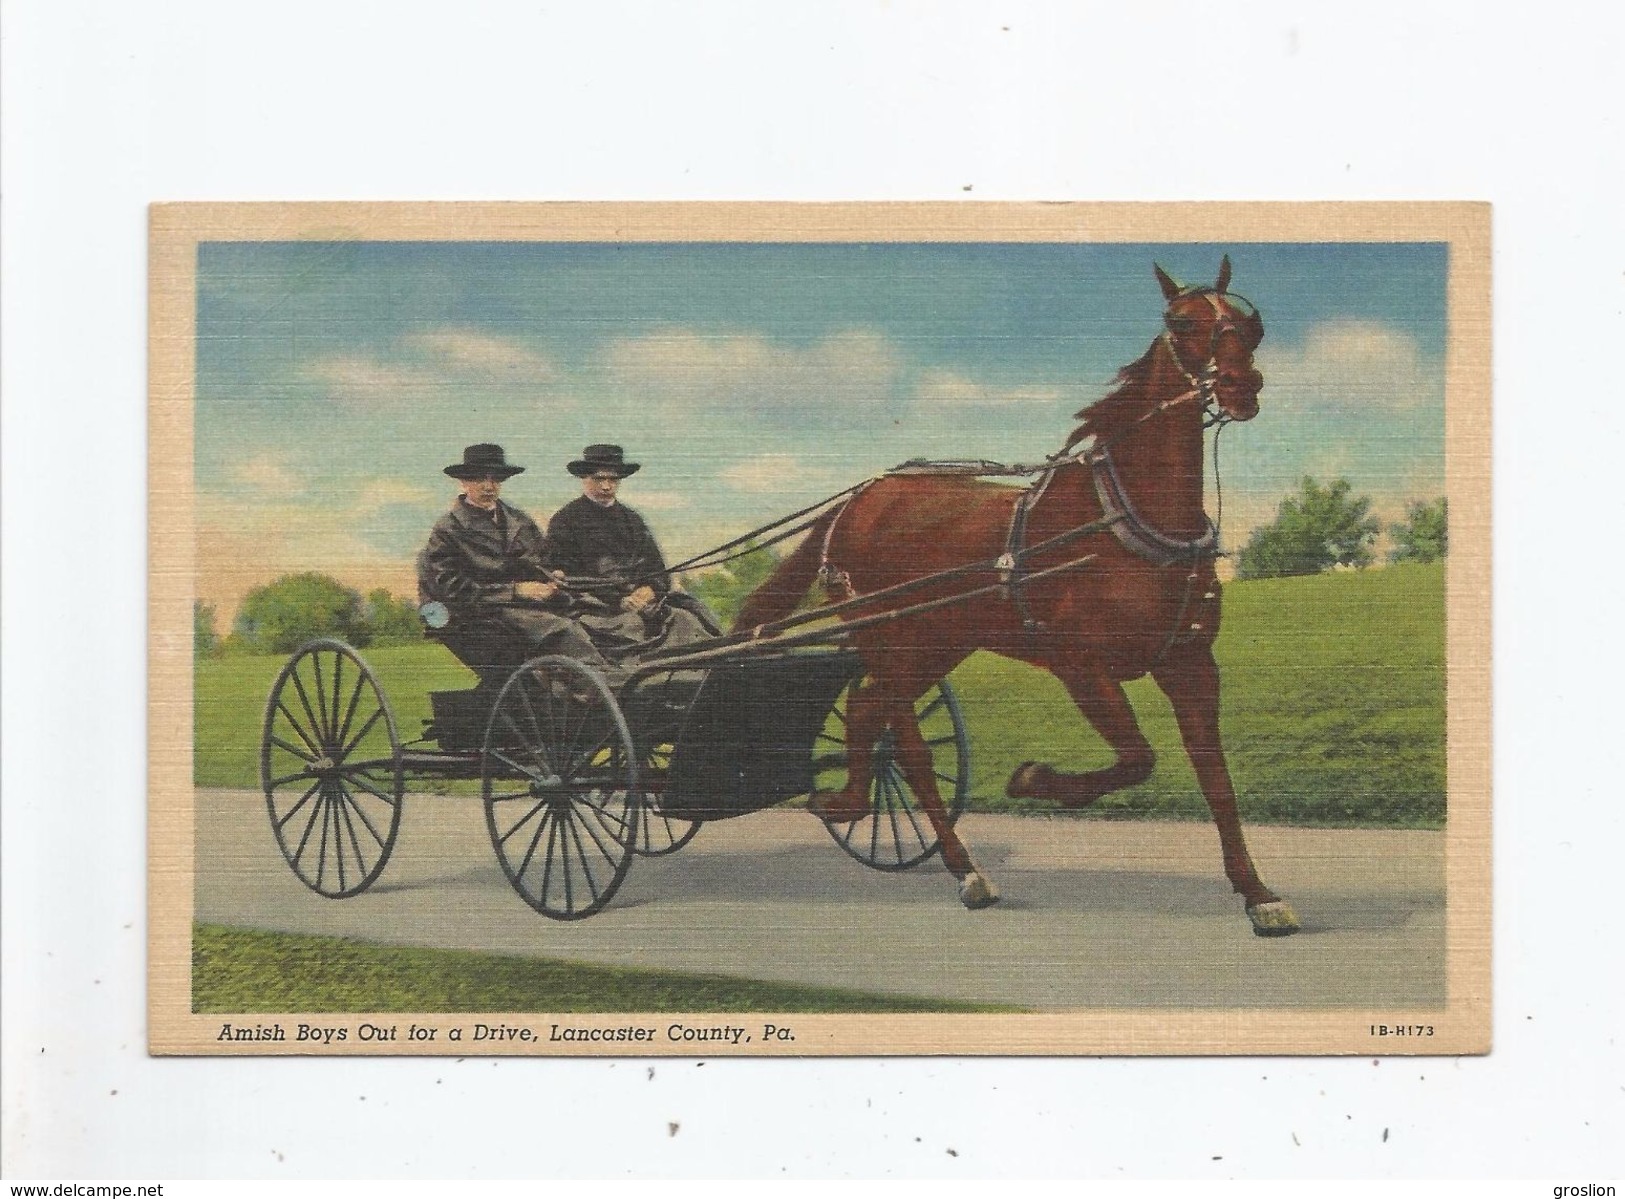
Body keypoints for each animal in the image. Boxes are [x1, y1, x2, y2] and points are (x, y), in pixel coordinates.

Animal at [744, 256, 1300, 935]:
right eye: (1181, 322)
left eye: (1249, 324)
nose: (1243, 384)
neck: (1122, 519)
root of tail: (858, 501)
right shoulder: (1080, 665)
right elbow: (1137, 758)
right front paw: (1035, 778)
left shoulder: (1190, 664)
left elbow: (1216, 779)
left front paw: (1258, 893)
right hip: (888, 636)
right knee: (885, 722)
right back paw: (889, 826)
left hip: (935, 645)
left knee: (880, 714)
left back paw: (929, 849)